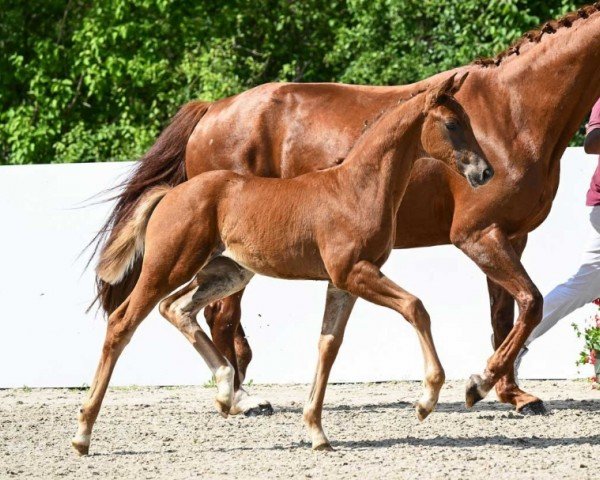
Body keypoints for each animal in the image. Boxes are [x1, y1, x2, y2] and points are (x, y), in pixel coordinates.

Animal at [72, 75, 490, 454]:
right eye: (452, 125)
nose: (485, 172)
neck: (356, 186)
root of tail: (170, 194)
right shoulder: (354, 272)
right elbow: (415, 307)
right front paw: (426, 401)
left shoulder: (342, 283)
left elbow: (328, 345)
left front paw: (317, 433)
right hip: (170, 265)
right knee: (124, 322)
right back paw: (83, 434)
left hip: (226, 271)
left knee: (176, 308)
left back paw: (226, 392)